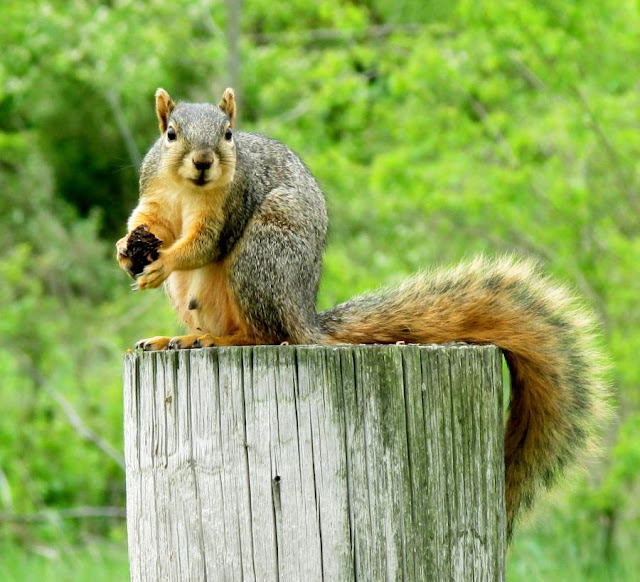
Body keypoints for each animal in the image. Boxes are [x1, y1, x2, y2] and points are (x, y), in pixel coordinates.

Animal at [116, 88, 608, 544]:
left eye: (228, 134)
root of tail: (302, 314)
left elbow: (201, 244)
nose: (202, 163)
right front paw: (127, 249)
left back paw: (222, 340)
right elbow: (150, 222)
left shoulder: (230, 206)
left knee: (267, 334)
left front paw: (162, 262)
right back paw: (176, 339)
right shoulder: (155, 198)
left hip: (260, 256)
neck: (189, 190)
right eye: (170, 134)